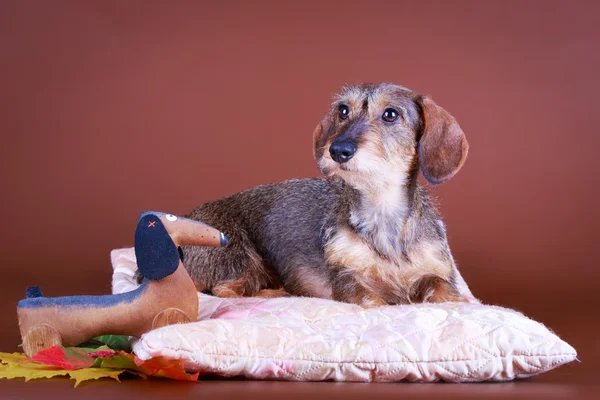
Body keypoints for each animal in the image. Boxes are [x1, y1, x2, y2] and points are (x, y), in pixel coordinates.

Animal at [180, 83, 472, 304]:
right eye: (343, 111)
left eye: (390, 114)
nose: (338, 149)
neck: (381, 207)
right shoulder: (348, 277)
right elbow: (370, 298)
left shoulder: (437, 272)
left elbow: (445, 292)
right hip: (237, 256)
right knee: (226, 289)